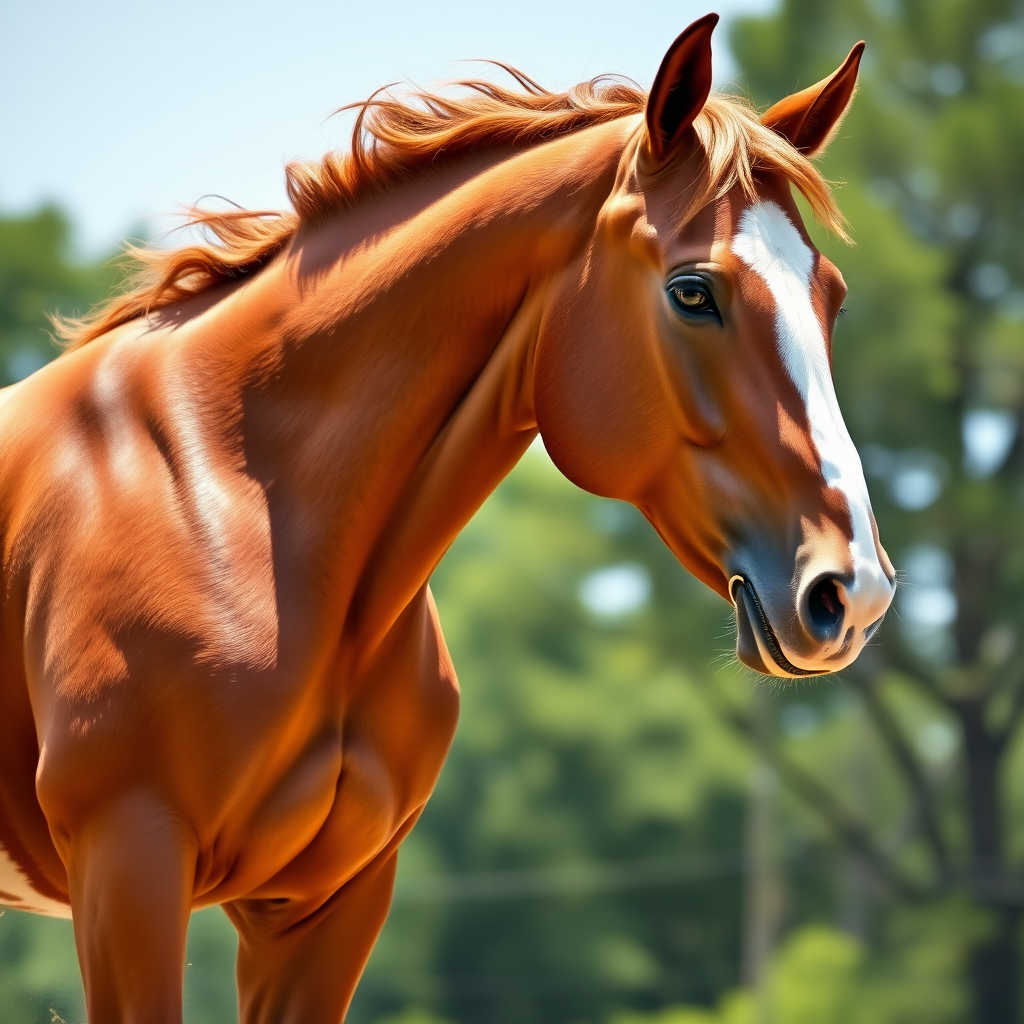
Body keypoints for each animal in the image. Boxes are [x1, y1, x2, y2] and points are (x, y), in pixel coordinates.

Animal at [0, 13, 893, 1021]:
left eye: (832, 297)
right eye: (693, 291)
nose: (852, 590)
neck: (234, 503)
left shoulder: (327, 906)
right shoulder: (129, 870)